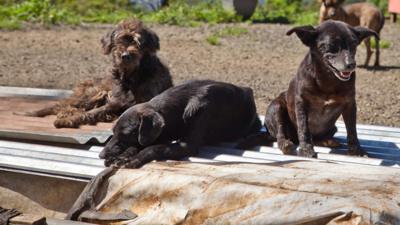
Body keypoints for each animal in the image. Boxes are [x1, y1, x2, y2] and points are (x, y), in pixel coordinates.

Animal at [18, 18, 173, 128]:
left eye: (137, 42)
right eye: (119, 40)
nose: (125, 55)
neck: (131, 75)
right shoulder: (114, 103)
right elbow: (93, 112)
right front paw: (69, 119)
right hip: (91, 93)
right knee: (62, 106)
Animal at [99, 79, 262, 167]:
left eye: (126, 134)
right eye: (113, 132)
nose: (101, 154)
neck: (181, 108)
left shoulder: (187, 146)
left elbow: (153, 148)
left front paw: (135, 159)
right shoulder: (162, 135)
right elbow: (137, 146)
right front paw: (123, 156)